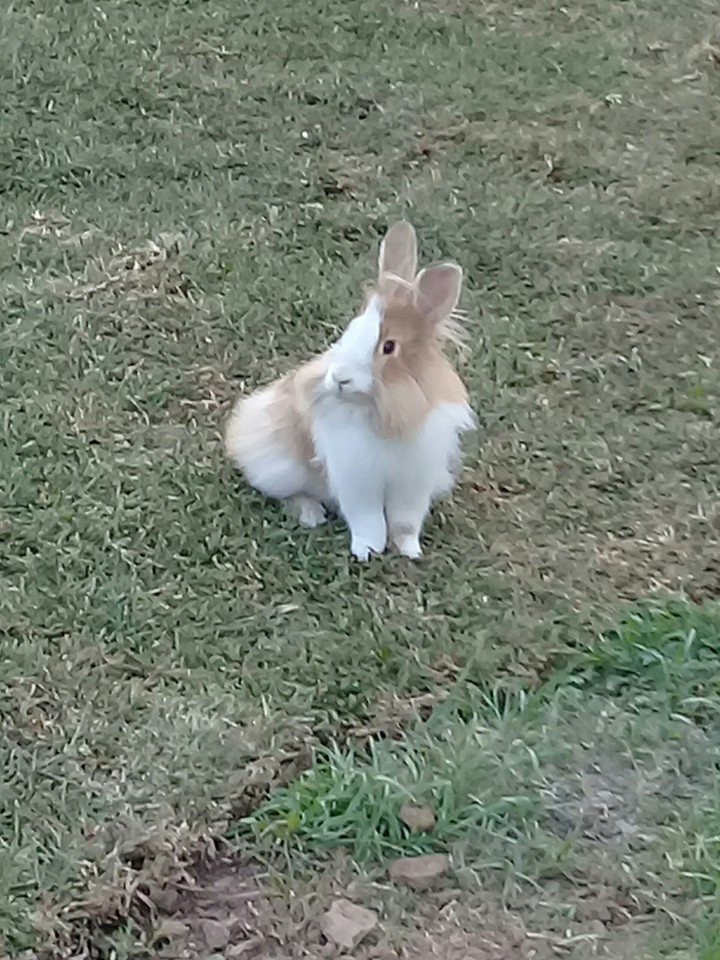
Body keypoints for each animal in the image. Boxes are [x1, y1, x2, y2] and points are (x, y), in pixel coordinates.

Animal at [224, 221, 474, 560]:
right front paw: (366, 551)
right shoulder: (356, 479)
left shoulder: (414, 484)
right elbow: (367, 520)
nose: (339, 378)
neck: (382, 408)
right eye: (349, 330)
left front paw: (410, 551)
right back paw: (311, 514)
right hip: (280, 466)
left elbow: (405, 522)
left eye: (389, 347)